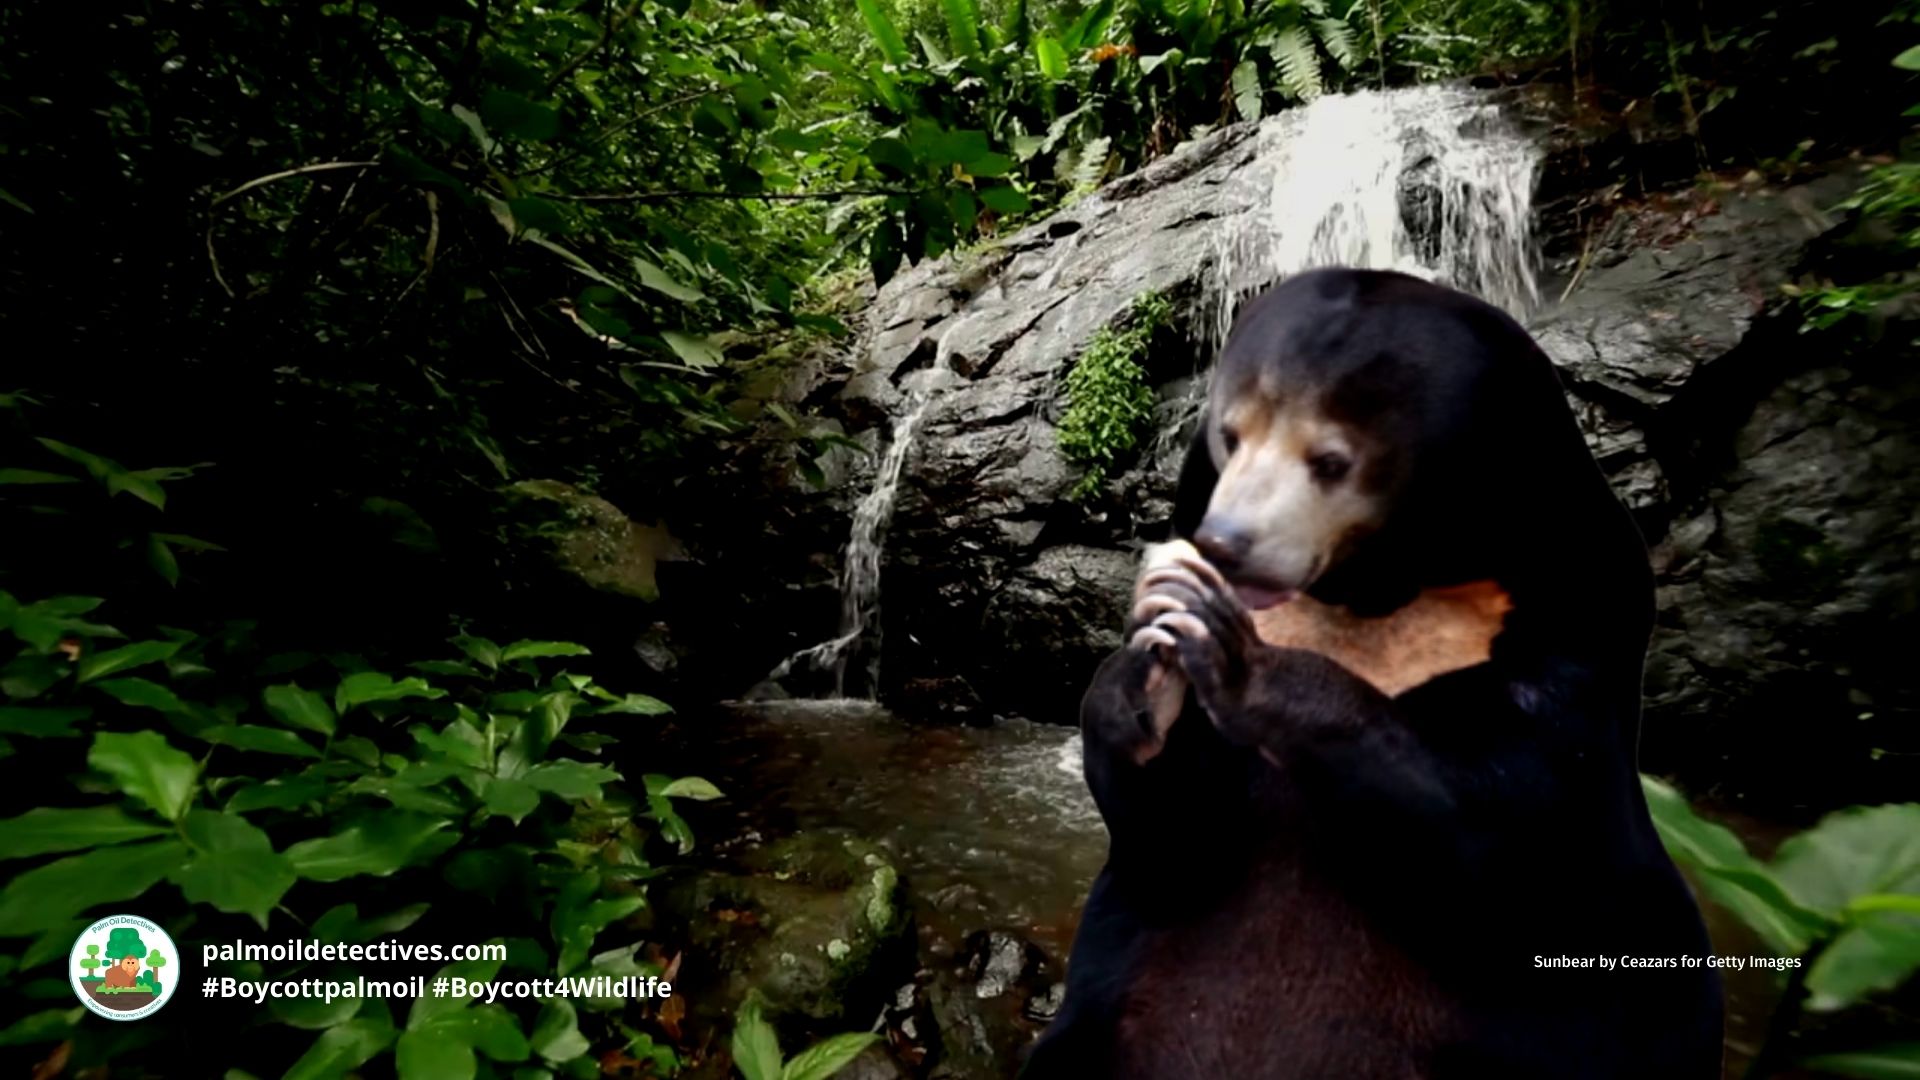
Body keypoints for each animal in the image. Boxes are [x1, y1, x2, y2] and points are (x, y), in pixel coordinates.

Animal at [1023, 268, 1723, 1079]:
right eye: (1230, 436)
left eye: (1331, 460)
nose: (1223, 544)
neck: (1373, 588)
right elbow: (1178, 840)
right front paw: (1143, 675)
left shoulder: (1577, 624)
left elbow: (1503, 830)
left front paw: (1235, 655)